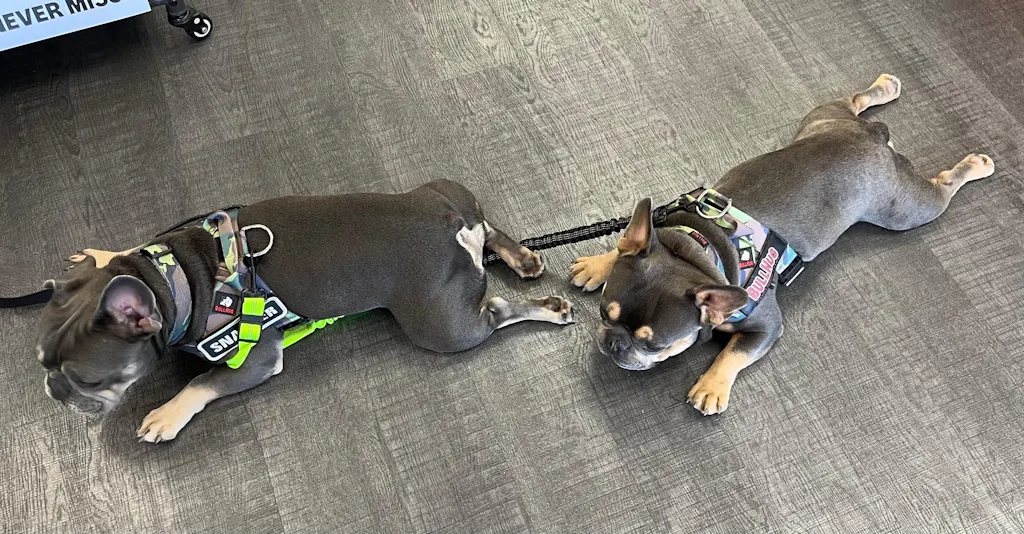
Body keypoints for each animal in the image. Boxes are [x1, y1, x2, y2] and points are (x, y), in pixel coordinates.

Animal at [35, 179, 574, 442]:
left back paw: (548, 308)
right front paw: (100, 254)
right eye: (42, 361)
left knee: (497, 308)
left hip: (441, 327)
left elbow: (201, 383)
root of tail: (451, 226)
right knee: (488, 225)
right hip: (445, 189)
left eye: (87, 380)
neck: (173, 279)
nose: (53, 391)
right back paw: (522, 257)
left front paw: (166, 414)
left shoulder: (251, 360)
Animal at [570, 74, 994, 415]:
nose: (614, 343)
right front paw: (598, 264)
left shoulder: (766, 326)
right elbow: (622, 246)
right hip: (821, 119)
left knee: (942, 187)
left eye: (655, 346)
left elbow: (733, 354)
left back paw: (975, 165)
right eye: (605, 315)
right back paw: (885, 86)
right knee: (853, 99)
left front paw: (711, 388)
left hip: (902, 210)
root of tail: (874, 139)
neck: (699, 250)